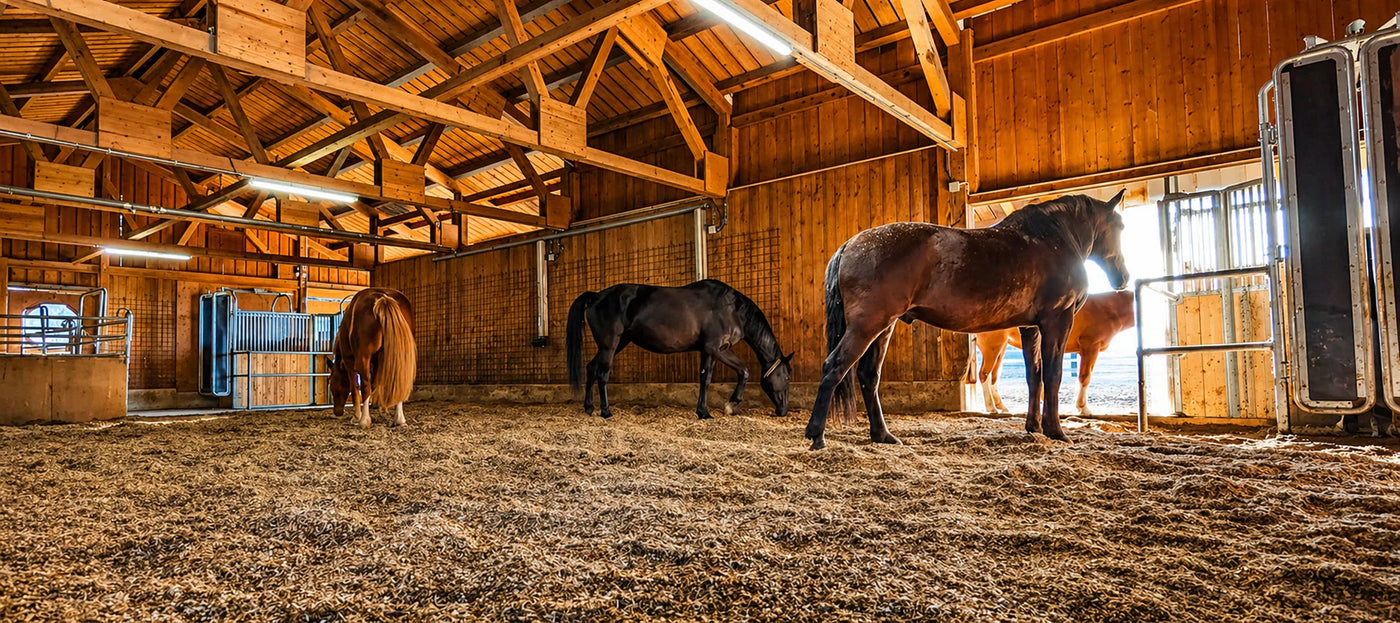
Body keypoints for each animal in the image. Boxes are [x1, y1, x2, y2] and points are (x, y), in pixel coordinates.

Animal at [329, 287, 417, 428]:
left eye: (331, 382)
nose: (337, 412)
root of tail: (383, 297)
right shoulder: (377, 361)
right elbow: (377, 383)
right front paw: (381, 410)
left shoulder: (349, 361)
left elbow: (355, 387)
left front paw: (356, 416)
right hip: (400, 357)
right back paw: (399, 419)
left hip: (363, 359)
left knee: (365, 386)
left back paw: (364, 420)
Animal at [565, 279, 793, 420]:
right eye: (787, 377)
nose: (783, 410)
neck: (733, 310)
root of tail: (595, 296)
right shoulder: (715, 348)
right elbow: (729, 374)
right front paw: (721, 408)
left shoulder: (712, 350)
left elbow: (715, 376)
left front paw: (710, 410)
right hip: (610, 345)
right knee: (602, 374)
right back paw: (605, 411)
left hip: (616, 344)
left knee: (591, 368)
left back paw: (589, 407)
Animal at [968, 290, 1136, 416]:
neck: (1106, 309)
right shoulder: (1090, 347)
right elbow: (1085, 378)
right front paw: (1083, 408)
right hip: (993, 347)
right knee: (984, 374)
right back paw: (991, 408)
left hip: (1001, 347)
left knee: (994, 375)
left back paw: (1001, 406)